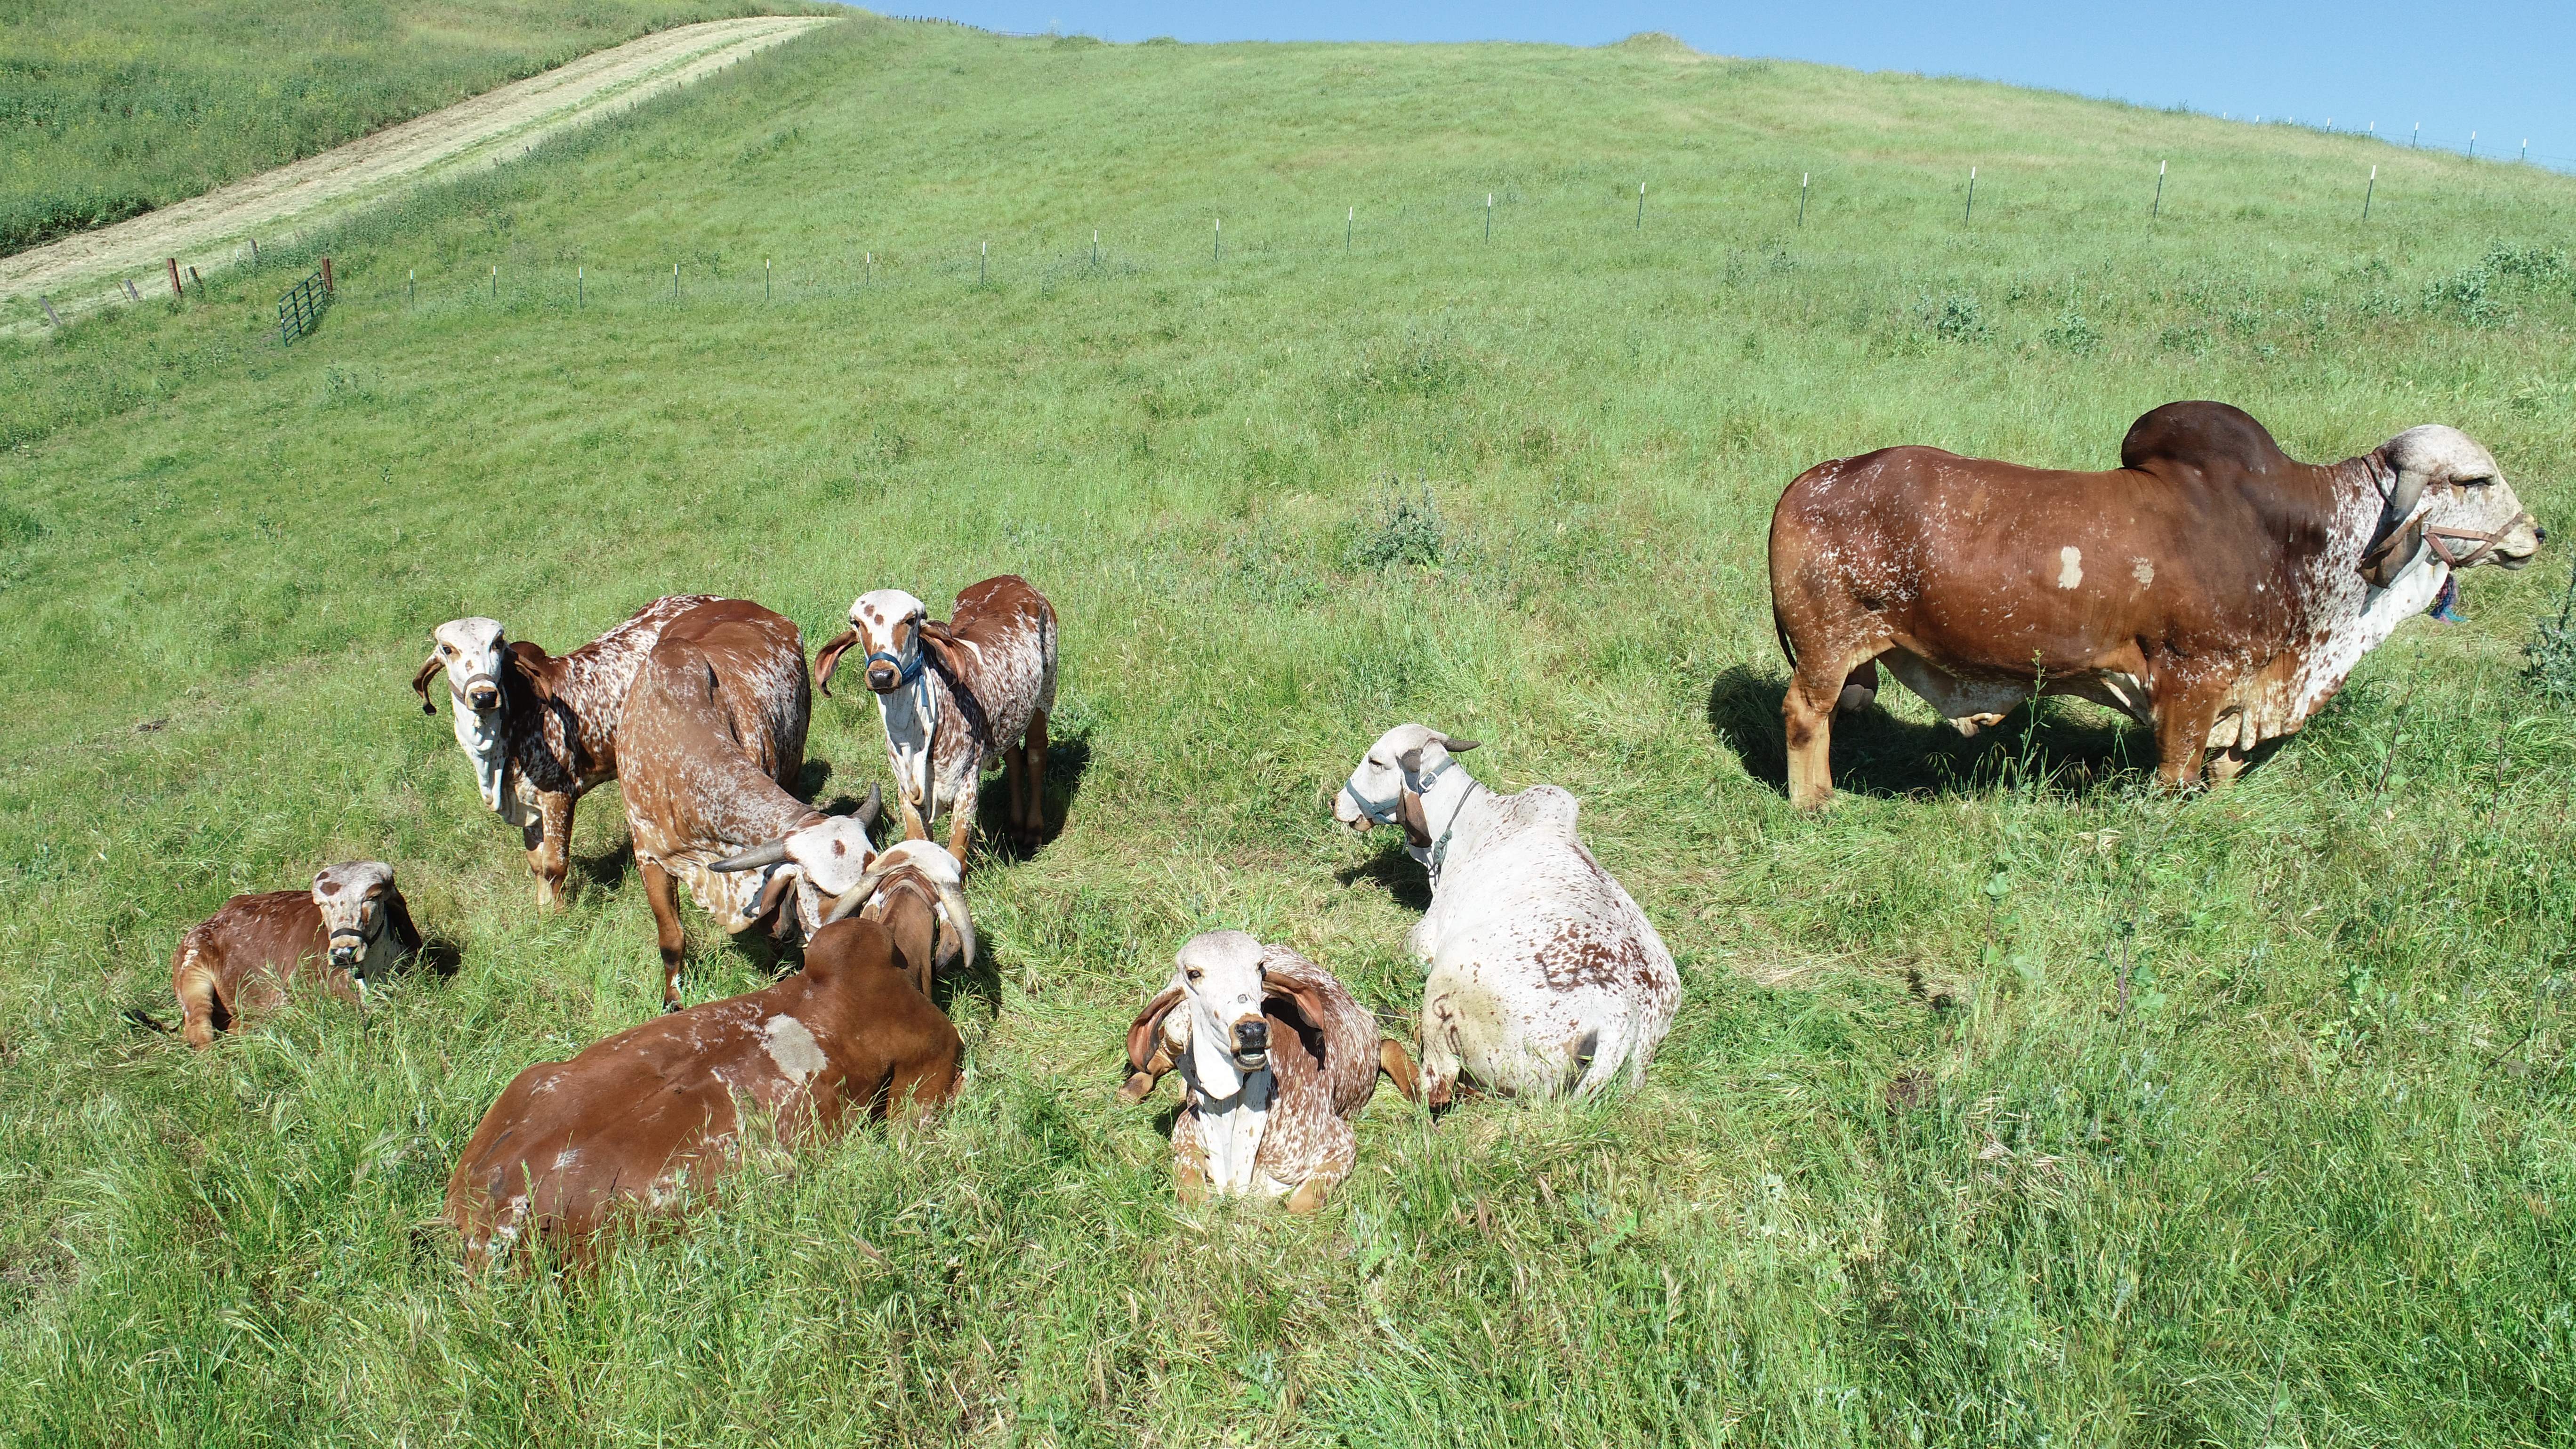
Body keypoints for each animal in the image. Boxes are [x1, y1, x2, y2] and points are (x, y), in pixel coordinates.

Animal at [411, 596, 717, 905]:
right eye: (448, 649)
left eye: (497, 644)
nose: (484, 696)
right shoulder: (530, 805)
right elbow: (536, 865)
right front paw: (544, 911)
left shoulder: (559, 795)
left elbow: (553, 866)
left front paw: (557, 911)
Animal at [813, 576, 1057, 862]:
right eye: (857, 623)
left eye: (910, 620)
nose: (882, 676)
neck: (912, 739)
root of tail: (1013, 580)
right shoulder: (907, 795)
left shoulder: (966, 787)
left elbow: (957, 857)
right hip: (1010, 720)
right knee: (1015, 760)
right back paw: (1017, 827)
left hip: (1044, 697)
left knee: (1036, 756)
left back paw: (1033, 831)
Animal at [1118, 931, 1420, 1211]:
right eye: (1194, 973)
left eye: (1259, 967)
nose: (1252, 1030)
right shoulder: (1186, 1131)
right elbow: (1194, 1197)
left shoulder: (1340, 1145)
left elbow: (1299, 1206)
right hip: (1176, 1030)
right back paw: (1132, 1089)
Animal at [1334, 726, 1679, 1106]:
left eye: (1375, 761)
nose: (1336, 803)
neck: (1474, 827)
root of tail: (1620, 1027)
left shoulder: (1423, 941)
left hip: (1449, 980)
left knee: (1433, 1087)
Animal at [1769, 402, 2545, 807]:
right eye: (2477, 480)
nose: (2536, 535)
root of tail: (1810, 480)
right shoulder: (2193, 678)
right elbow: (2178, 773)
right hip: (1827, 646)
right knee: (1805, 713)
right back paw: (1815, 802)